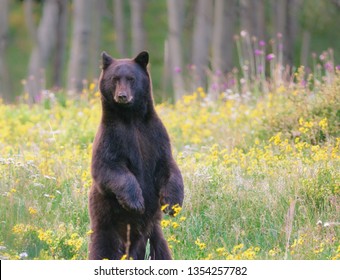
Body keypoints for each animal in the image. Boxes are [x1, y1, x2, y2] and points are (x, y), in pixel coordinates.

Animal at [87, 50, 183, 260]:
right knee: (102, 251)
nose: (122, 96)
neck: (131, 118)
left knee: (162, 253)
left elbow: (168, 166)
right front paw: (136, 202)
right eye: (115, 78)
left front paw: (172, 204)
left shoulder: (154, 135)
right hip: (107, 229)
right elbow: (108, 167)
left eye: (131, 78)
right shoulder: (112, 136)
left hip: (154, 235)